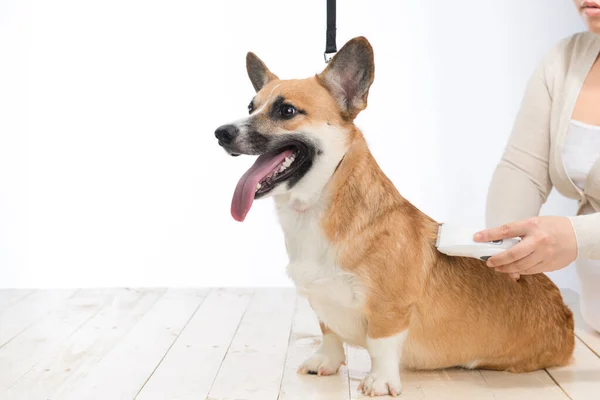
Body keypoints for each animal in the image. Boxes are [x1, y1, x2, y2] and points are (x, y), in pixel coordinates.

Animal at [213, 38, 576, 396]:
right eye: (251, 107)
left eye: (286, 111)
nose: (221, 133)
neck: (315, 208)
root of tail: (568, 319)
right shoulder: (323, 304)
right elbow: (329, 333)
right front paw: (325, 362)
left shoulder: (390, 309)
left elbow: (380, 345)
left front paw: (380, 381)